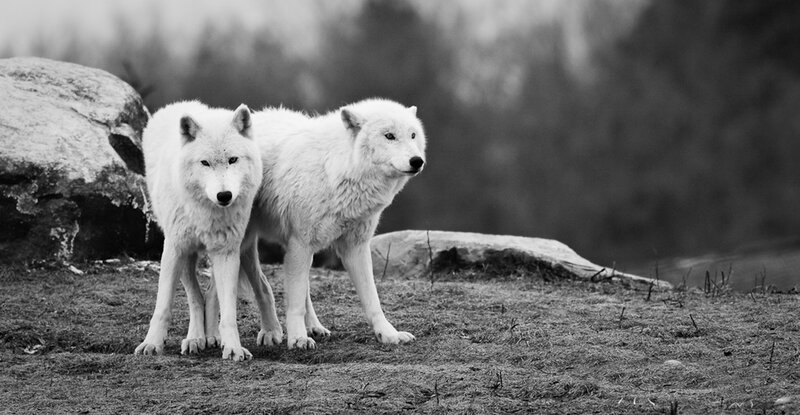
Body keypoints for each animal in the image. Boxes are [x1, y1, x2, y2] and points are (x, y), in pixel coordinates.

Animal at [134, 101, 262, 361]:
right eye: (205, 163)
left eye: (233, 160)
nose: (224, 195)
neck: (207, 212)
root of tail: (183, 104)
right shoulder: (174, 249)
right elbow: (163, 306)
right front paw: (151, 344)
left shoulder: (227, 252)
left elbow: (229, 311)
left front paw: (232, 347)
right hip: (185, 253)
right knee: (195, 296)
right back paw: (195, 338)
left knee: (211, 295)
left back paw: (211, 336)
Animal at [224, 98, 427, 350]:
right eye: (389, 136)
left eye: (412, 135)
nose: (417, 161)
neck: (337, 169)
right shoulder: (301, 243)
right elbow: (294, 302)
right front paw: (298, 338)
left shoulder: (354, 248)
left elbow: (372, 299)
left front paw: (389, 334)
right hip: (247, 241)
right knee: (260, 285)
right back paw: (267, 332)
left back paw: (314, 327)